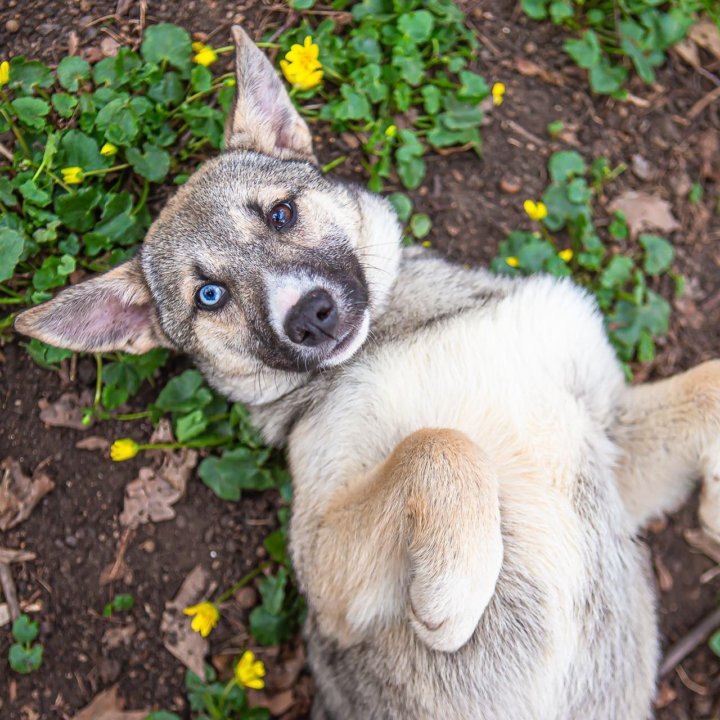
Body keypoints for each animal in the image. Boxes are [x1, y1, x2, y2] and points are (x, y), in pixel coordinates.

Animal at [14, 28, 720, 720]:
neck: (398, 333)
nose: (310, 315)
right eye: (209, 296)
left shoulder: (612, 448)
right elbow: (439, 445)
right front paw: (457, 589)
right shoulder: (329, 577)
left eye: (280, 214)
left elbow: (708, 382)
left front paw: (713, 505)